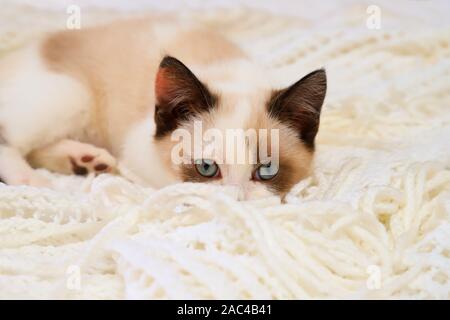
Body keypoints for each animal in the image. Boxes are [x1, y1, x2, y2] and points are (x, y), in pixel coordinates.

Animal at [0, 17, 326, 200]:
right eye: (206, 169)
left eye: (267, 170)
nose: (237, 202)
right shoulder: (137, 153)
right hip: (70, 97)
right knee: (11, 139)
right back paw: (31, 180)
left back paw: (85, 161)